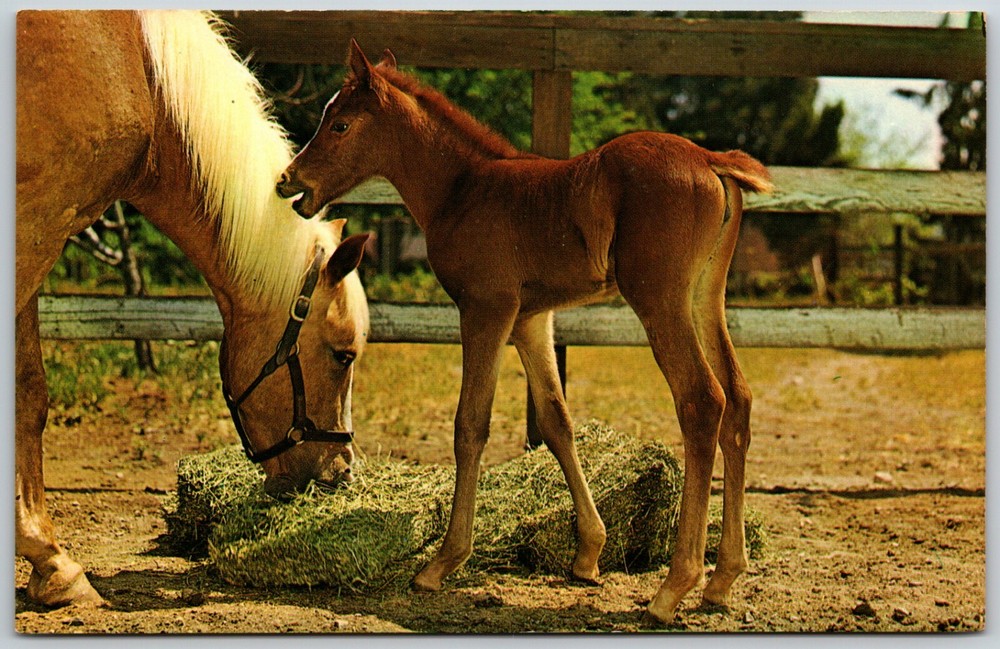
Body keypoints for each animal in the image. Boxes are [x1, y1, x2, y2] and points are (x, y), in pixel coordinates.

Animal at [16, 11, 371, 608]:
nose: (338, 474)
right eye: (343, 355)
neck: (143, 72)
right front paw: (53, 559)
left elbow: (27, 396)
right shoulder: (33, 228)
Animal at [277, 40, 774, 624]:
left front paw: (442, 562)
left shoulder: (486, 308)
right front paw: (588, 554)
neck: (462, 187)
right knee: (738, 399)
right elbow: (557, 422)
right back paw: (722, 580)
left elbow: (470, 425)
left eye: (339, 124)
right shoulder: (531, 321)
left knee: (701, 401)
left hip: (661, 301)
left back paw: (673, 588)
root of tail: (710, 160)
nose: (288, 181)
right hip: (705, 299)